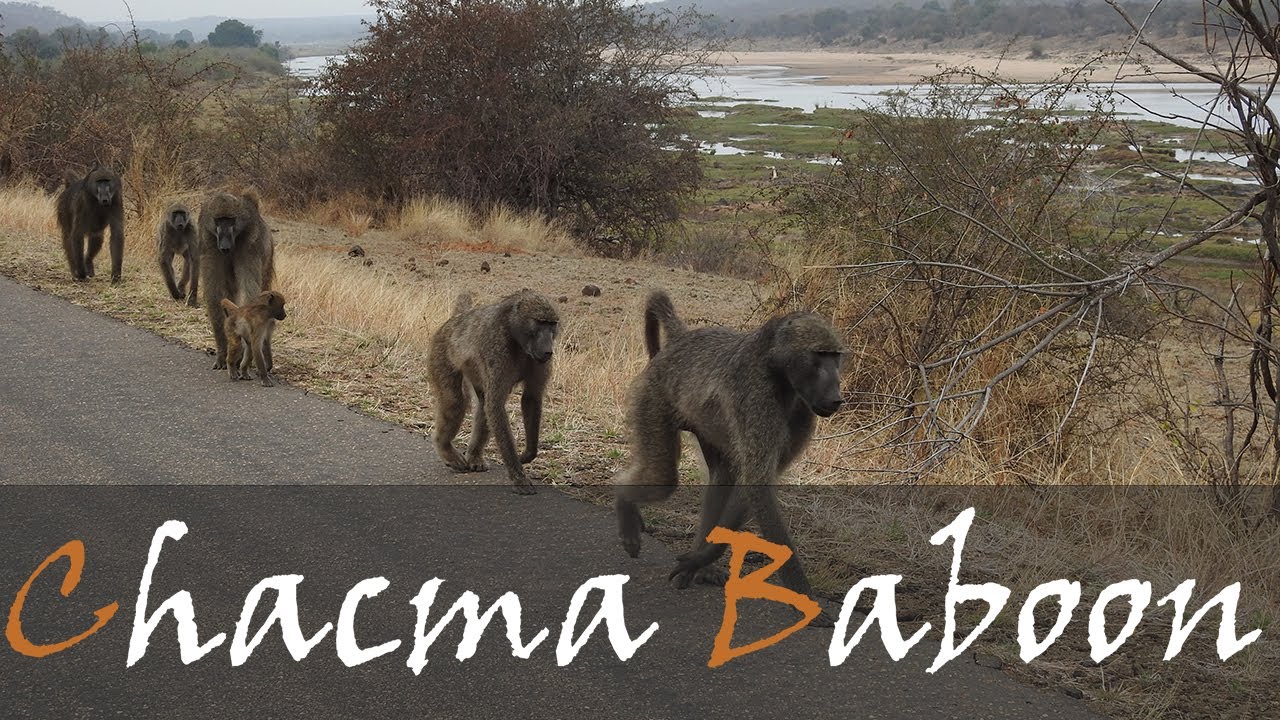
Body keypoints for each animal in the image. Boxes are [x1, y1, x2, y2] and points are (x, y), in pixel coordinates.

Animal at [197, 191, 275, 371]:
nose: (225, 245)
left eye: (230, 220)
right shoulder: (209, 242)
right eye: (219, 220)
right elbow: (215, 295)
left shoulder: (251, 245)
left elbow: (250, 293)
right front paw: (223, 353)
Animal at [427, 290, 560, 495]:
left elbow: (531, 398)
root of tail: (454, 320)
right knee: (455, 402)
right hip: (441, 354)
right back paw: (445, 449)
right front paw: (518, 476)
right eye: (540, 322)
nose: (548, 350)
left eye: (551, 325)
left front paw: (527, 454)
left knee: (483, 406)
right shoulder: (496, 348)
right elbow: (496, 405)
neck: (516, 338)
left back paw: (474, 456)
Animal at [615, 289, 846, 603]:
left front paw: (700, 559)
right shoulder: (755, 394)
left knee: (720, 478)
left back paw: (701, 568)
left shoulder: (803, 411)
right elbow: (758, 483)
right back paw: (623, 502)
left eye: (835, 357)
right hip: (652, 398)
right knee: (664, 479)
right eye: (820, 356)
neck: (778, 371)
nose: (836, 397)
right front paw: (804, 597)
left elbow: (757, 482)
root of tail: (681, 339)